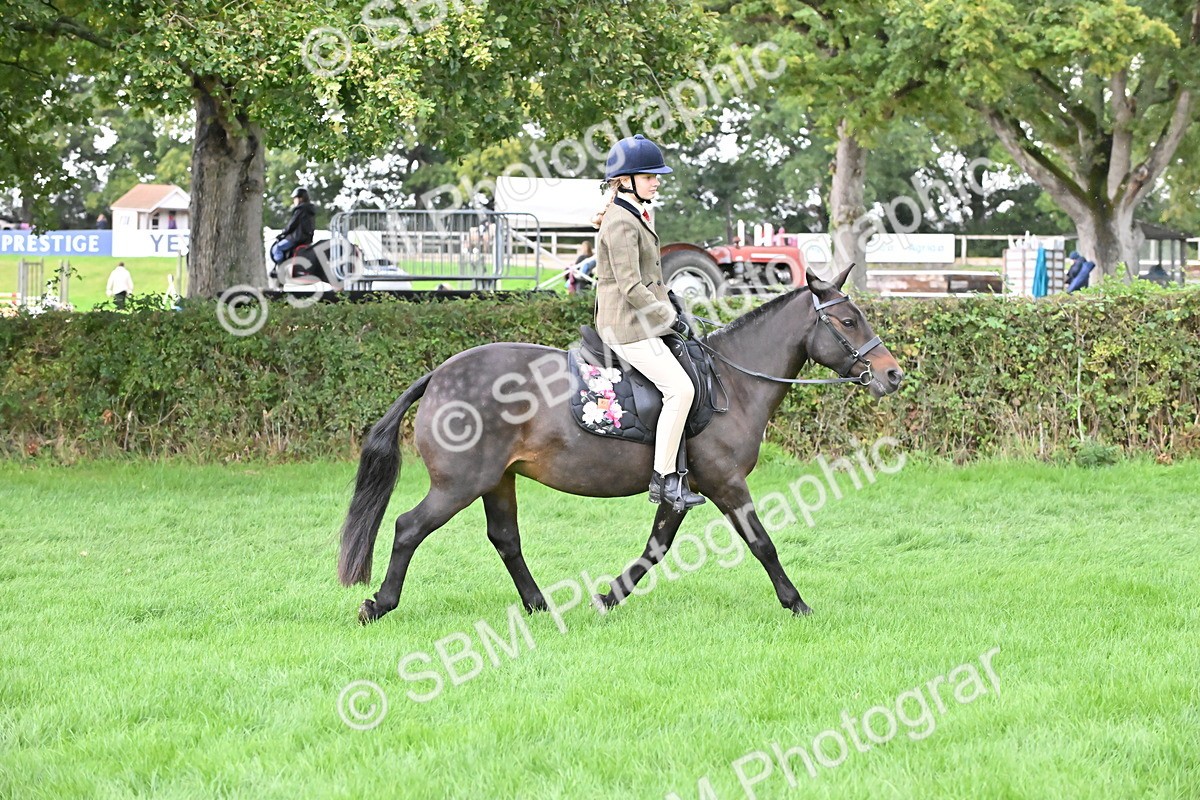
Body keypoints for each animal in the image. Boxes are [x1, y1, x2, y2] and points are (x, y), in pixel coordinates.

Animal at [338, 265, 904, 623]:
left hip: (497, 480)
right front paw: (797, 604)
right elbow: (761, 541)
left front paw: (608, 598)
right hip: (460, 483)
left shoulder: (680, 488)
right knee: (409, 528)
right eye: (848, 321)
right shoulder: (725, 483)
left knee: (505, 538)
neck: (733, 382)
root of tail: (438, 375)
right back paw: (378, 605)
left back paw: (539, 606)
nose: (893, 375)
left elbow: (656, 548)